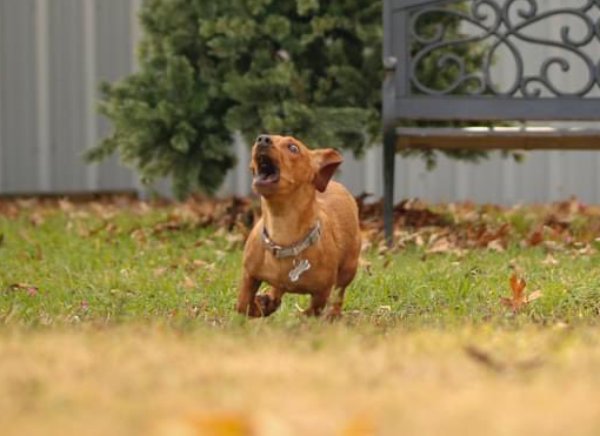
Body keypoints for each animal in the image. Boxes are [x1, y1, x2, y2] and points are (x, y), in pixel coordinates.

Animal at [237, 133, 360, 316]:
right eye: (259, 138)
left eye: (293, 148)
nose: (262, 139)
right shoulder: (249, 274)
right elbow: (243, 304)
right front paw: (259, 307)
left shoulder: (322, 291)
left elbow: (313, 310)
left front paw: (303, 316)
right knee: (277, 289)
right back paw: (270, 301)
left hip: (349, 269)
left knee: (339, 294)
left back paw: (333, 314)